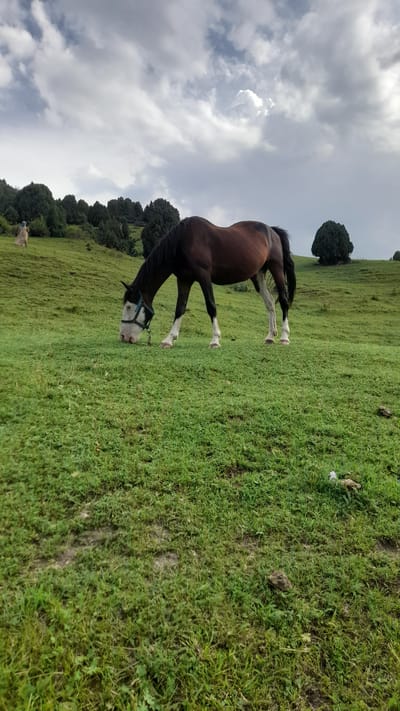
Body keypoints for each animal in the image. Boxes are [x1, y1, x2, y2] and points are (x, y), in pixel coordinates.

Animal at [120, 216, 296, 348]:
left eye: (129, 306)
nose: (123, 337)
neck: (183, 241)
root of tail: (272, 231)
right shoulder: (184, 279)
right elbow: (180, 308)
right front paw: (169, 339)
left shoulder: (204, 276)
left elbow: (211, 305)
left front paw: (215, 340)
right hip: (258, 275)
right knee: (270, 303)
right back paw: (270, 336)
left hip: (277, 268)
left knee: (283, 301)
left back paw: (284, 337)